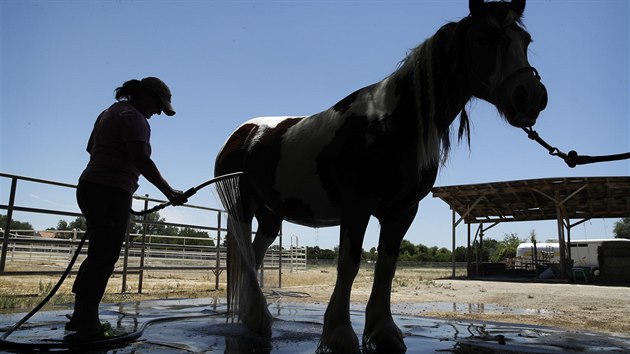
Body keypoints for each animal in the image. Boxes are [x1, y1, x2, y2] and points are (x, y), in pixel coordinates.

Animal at [216, 1, 548, 352]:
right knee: (247, 259)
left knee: (253, 256)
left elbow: (386, 268)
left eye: (526, 41)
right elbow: (348, 265)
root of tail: (240, 134)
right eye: (483, 39)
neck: (392, 122)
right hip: (241, 208)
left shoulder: (401, 211)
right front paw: (340, 333)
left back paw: (253, 318)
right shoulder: (357, 208)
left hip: (270, 216)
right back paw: (257, 320)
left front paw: (383, 330)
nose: (531, 97)